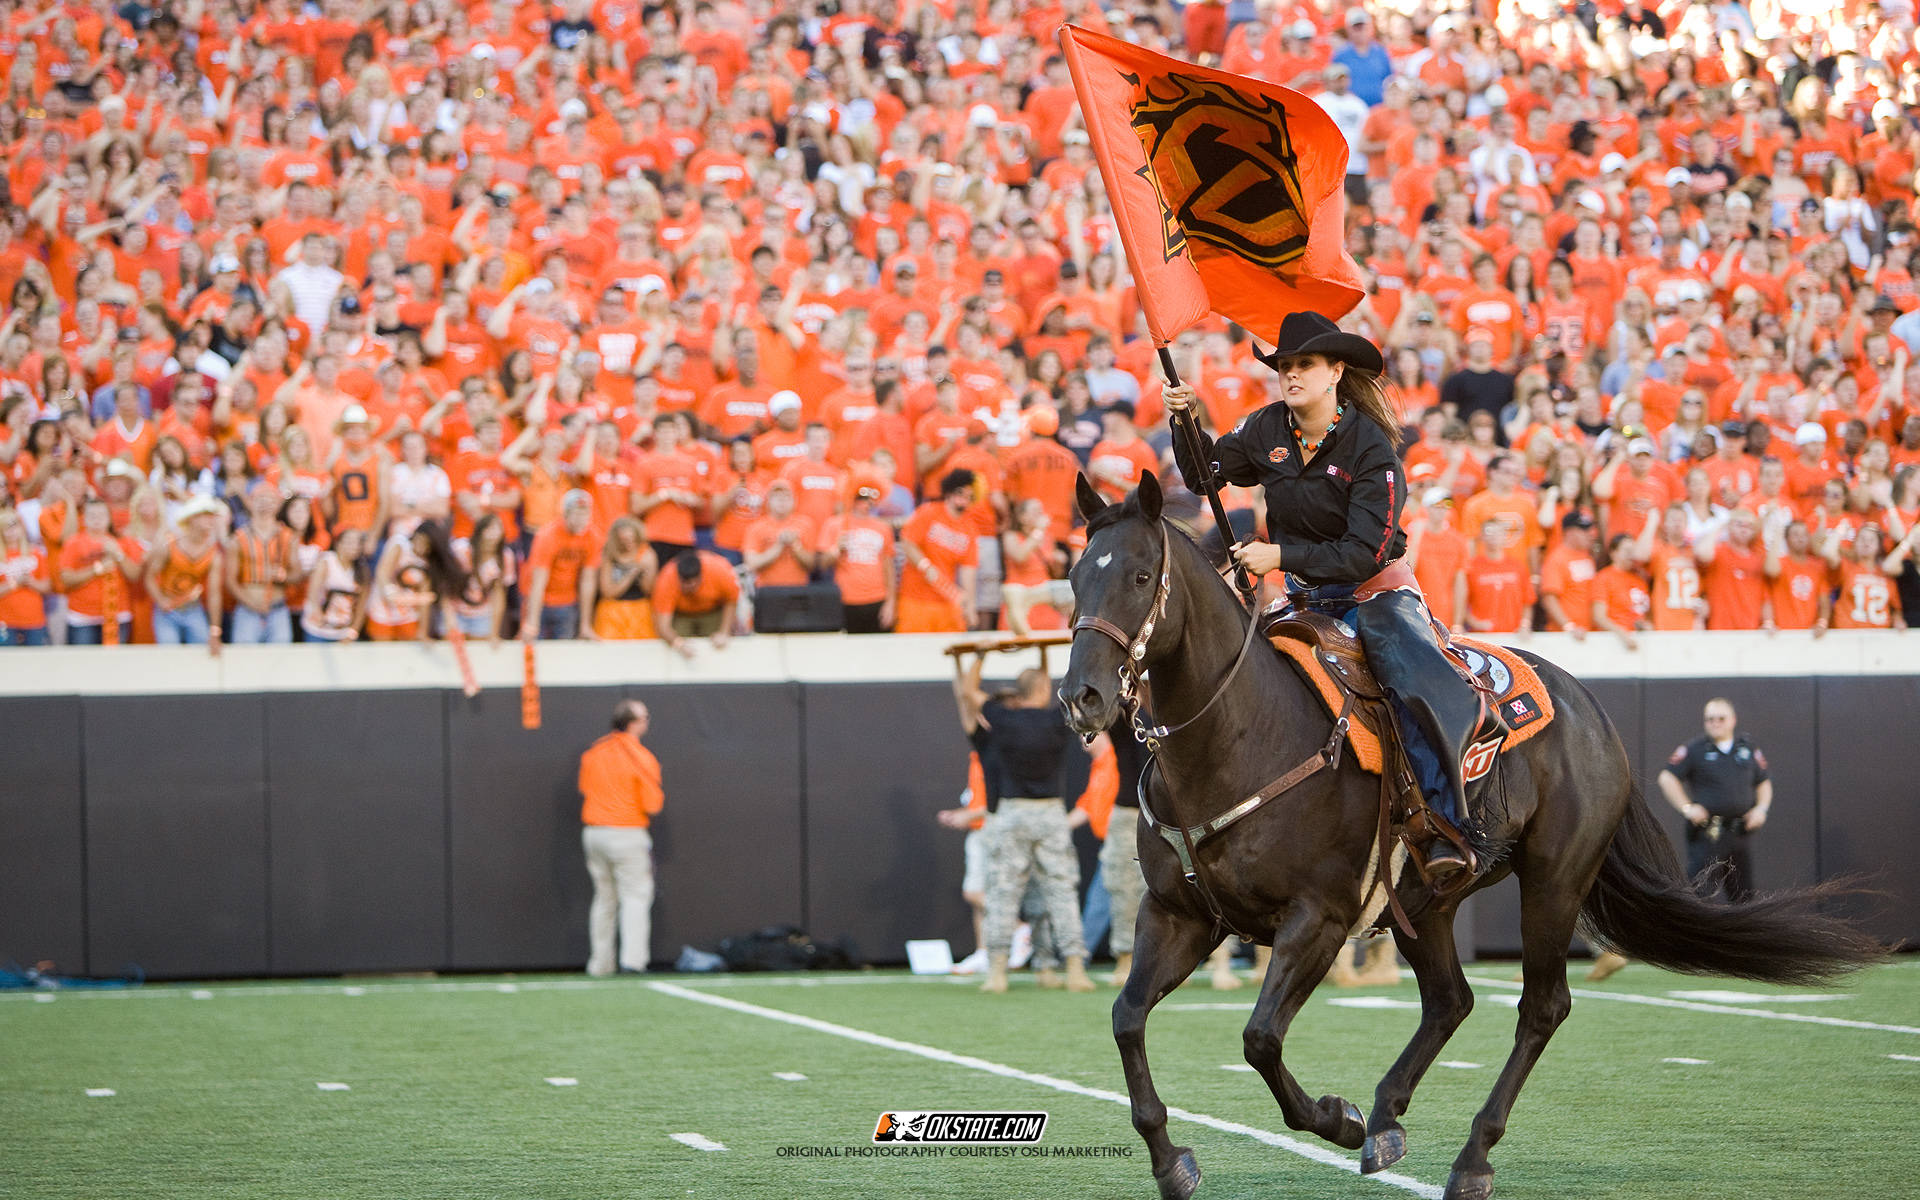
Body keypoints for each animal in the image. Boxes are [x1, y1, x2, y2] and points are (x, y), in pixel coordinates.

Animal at [1059, 472, 1881, 1198]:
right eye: (1073, 578)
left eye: (1140, 575)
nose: (1082, 697)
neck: (1242, 735)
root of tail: (1590, 710)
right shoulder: (1180, 915)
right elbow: (1126, 1018)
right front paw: (1173, 1160)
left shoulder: (1318, 917)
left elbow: (1258, 1038)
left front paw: (1336, 1118)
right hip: (1427, 901)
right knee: (1452, 1000)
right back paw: (1389, 1117)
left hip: (1553, 882)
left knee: (1540, 1009)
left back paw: (1468, 1158)